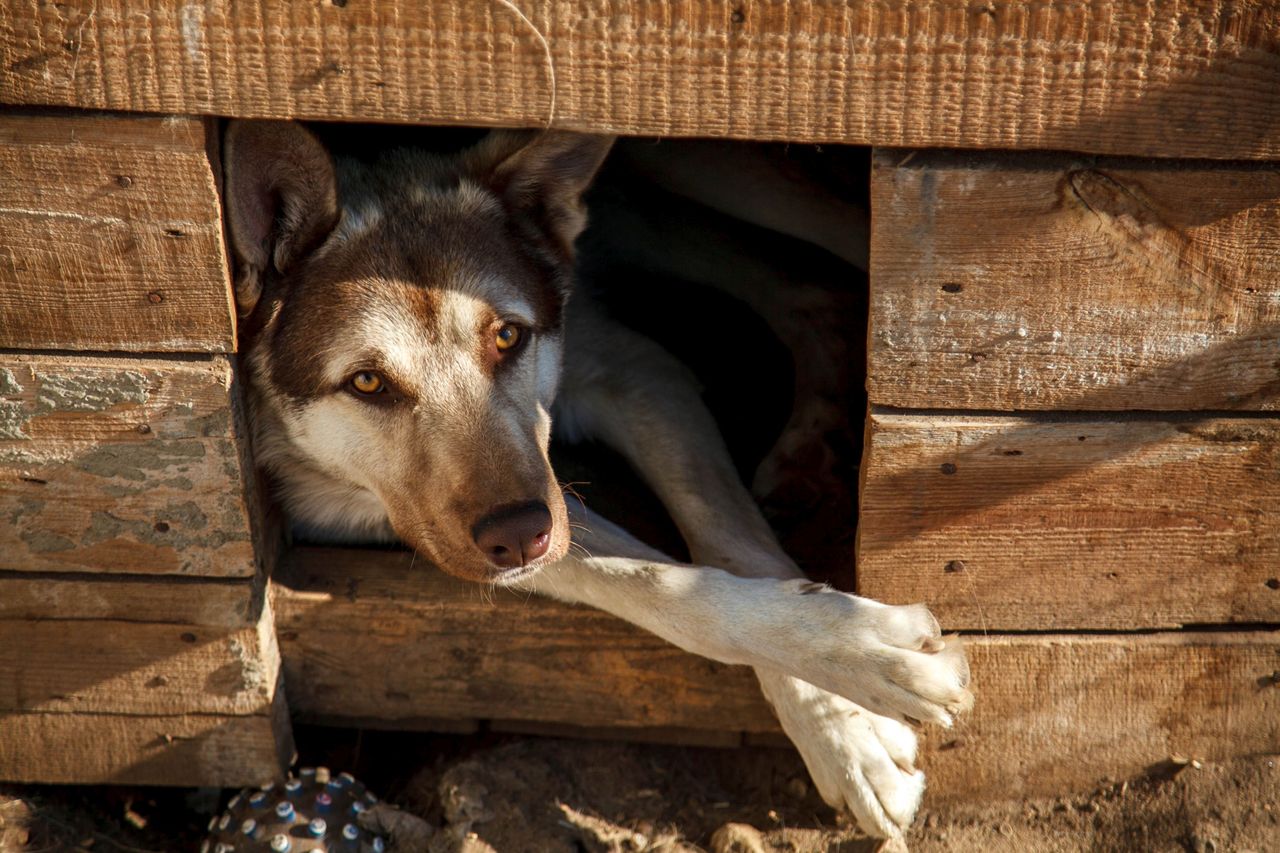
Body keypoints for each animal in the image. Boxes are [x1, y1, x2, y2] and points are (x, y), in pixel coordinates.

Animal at [222, 117, 967, 835]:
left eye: (508, 336)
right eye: (367, 382)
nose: (520, 535)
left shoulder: (635, 377)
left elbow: (734, 546)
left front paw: (845, 716)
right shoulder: (385, 515)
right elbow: (666, 589)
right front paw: (857, 689)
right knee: (814, 292)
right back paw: (809, 442)